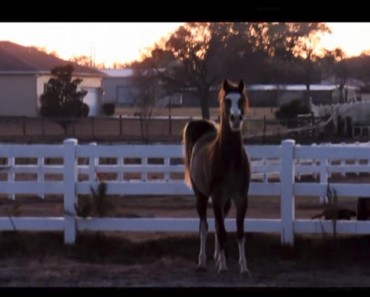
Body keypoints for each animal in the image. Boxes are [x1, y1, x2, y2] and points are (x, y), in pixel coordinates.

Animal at [183, 78, 251, 272]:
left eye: (241, 99)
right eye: (227, 100)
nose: (236, 119)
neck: (230, 160)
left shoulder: (241, 198)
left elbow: (239, 232)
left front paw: (243, 267)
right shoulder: (216, 197)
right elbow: (220, 232)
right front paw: (223, 268)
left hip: (225, 202)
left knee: (215, 224)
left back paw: (218, 257)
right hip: (202, 196)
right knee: (204, 226)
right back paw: (203, 260)